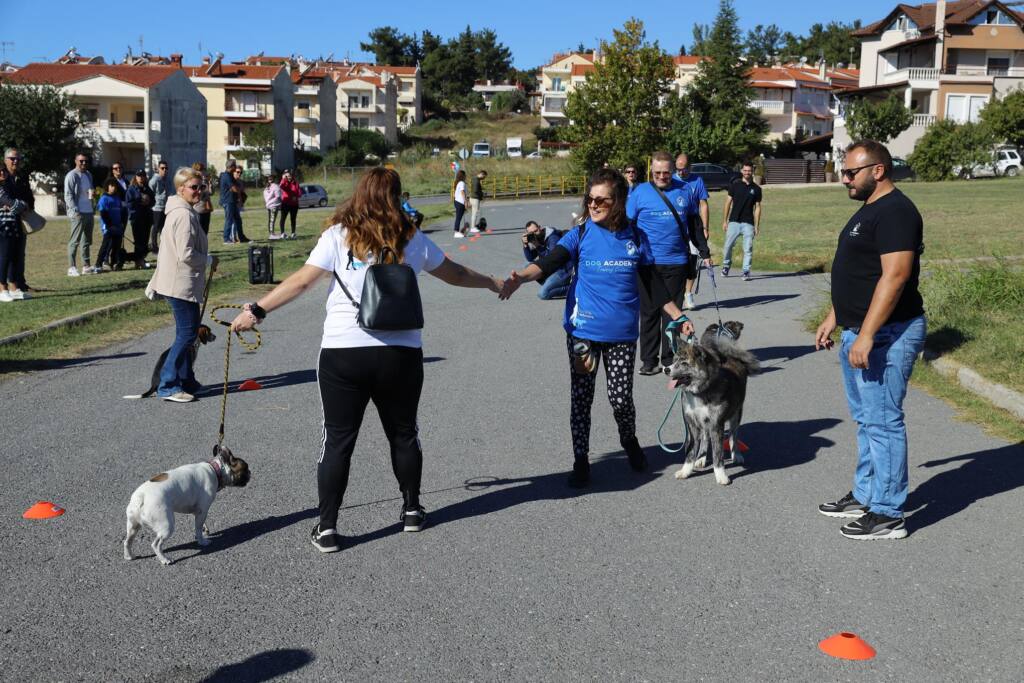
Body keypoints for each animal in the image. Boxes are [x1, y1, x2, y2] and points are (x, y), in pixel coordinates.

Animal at [667, 325, 757, 485]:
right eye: (674, 360)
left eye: (684, 363)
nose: (666, 369)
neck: (700, 391)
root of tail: (731, 357)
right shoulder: (692, 424)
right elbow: (691, 451)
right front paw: (686, 471)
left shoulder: (716, 424)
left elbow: (718, 453)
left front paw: (721, 475)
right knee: (705, 437)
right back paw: (701, 458)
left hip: (736, 414)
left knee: (734, 436)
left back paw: (736, 455)